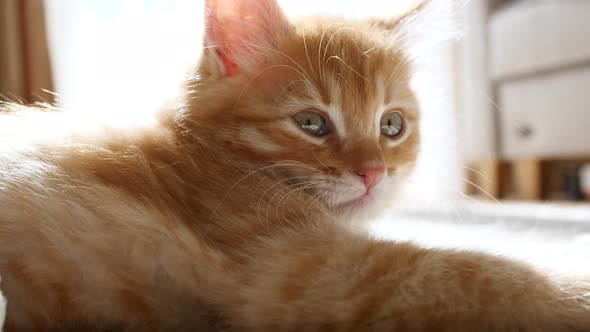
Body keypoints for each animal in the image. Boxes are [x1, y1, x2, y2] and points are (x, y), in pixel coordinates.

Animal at [1, 0, 590, 330]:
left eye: (391, 126)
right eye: (311, 123)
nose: (374, 173)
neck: (203, 159)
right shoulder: (296, 268)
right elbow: (482, 272)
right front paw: (571, 289)